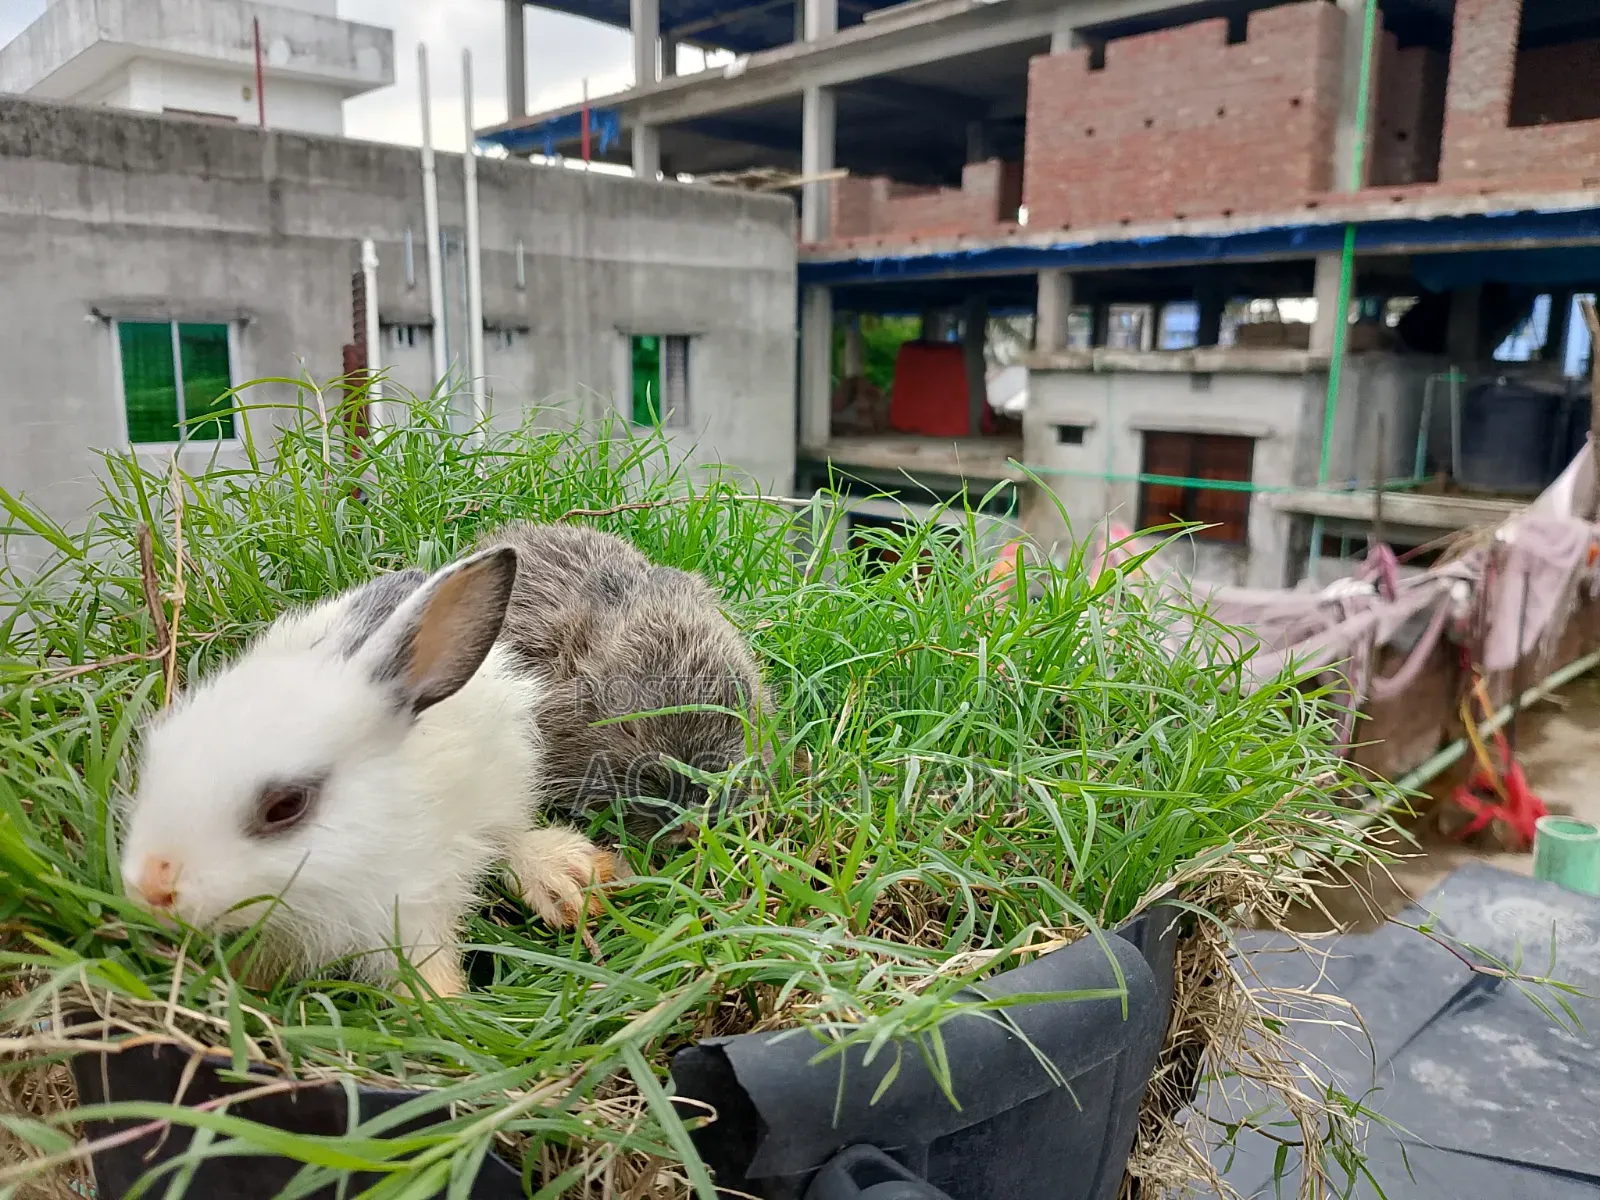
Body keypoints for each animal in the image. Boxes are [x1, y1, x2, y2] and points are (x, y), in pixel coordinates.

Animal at [120, 546, 617, 998]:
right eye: (154, 757)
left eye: (286, 805)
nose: (150, 889)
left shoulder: (411, 911)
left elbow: (426, 975)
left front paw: (443, 1007)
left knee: (510, 838)